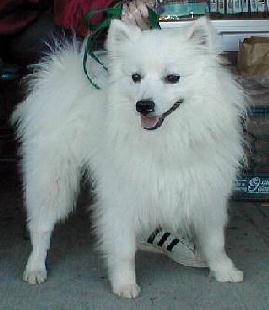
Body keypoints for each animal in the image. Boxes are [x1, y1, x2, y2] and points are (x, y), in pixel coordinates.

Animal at [13, 17, 245, 298]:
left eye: (173, 78)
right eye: (136, 77)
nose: (143, 105)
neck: (170, 138)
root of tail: (62, 73)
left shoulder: (208, 191)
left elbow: (215, 241)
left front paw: (224, 270)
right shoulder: (121, 197)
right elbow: (123, 249)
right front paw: (124, 283)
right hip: (52, 177)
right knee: (41, 226)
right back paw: (35, 267)